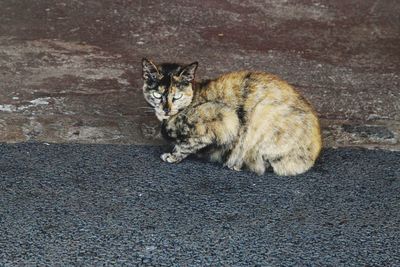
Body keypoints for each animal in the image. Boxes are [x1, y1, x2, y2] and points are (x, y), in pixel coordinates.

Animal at [141, 58, 322, 176]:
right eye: (157, 94)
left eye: (177, 96)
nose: (165, 109)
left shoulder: (225, 119)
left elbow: (187, 145)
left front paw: (172, 156)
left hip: (263, 112)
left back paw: (239, 165)